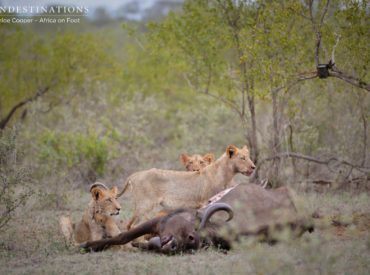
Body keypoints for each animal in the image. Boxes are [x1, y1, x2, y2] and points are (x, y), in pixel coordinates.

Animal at [118, 146, 254, 230]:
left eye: (249, 157)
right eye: (242, 158)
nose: (253, 166)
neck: (227, 175)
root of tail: (135, 174)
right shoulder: (207, 201)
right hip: (144, 204)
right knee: (131, 225)